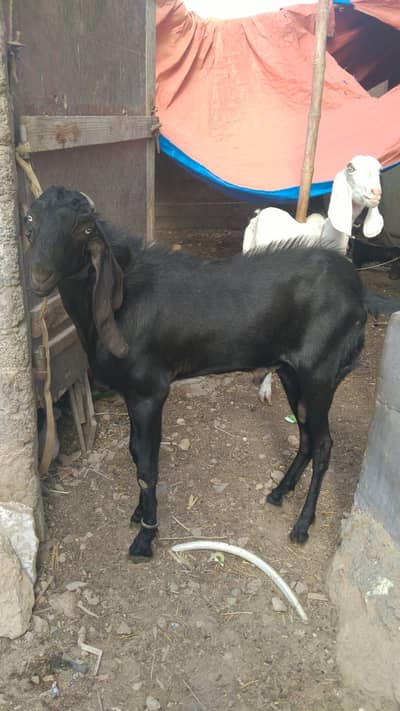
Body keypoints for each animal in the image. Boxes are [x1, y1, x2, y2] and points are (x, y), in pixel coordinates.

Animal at [27, 186, 367, 559]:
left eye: (84, 229)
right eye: (29, 220)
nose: (39, 275)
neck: (121, 303)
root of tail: (355, 287)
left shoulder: (150, 392)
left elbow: (147, 464)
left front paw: (146, 536)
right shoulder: (133, 394)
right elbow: (134, 451)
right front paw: (139, 513)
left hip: (320, 373)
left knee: (323, 444)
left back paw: (303, 525)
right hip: (292, 372)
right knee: (306, 435)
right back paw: (279, 492)